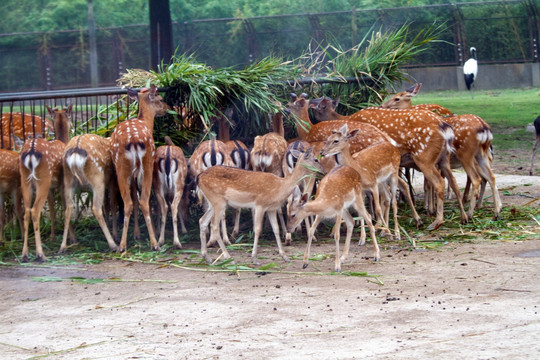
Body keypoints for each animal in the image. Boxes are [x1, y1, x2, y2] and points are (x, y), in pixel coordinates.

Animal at [19, 104, 72, 262]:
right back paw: (40, 254)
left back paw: (24, 254)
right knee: (35, 211)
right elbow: (65, 207)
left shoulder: (51, 188)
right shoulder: (61, 183)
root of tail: (30, 153)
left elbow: (53, 210)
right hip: (43, 179)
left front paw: (53, 237)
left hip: (25, 180)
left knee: (26, 212)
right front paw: (71, 239)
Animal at [109, 85, 169, 252]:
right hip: (146, 164)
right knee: (142, 200)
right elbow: (137, 200)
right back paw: (154, 243)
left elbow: (134, 200)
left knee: (130, 202)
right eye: (160, 99)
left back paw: (122, 245)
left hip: (124, 168)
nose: (167, 108)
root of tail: (135, 140)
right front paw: (138, 233)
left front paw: (136, 234)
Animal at [312, 96, 468, 231]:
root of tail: (444, 126)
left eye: (318, 106)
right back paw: (463, 217)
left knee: (439, 182)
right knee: (453, 181)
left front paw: (374, 221)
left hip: (424, 157)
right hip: (444, 157)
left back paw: (436, 221)